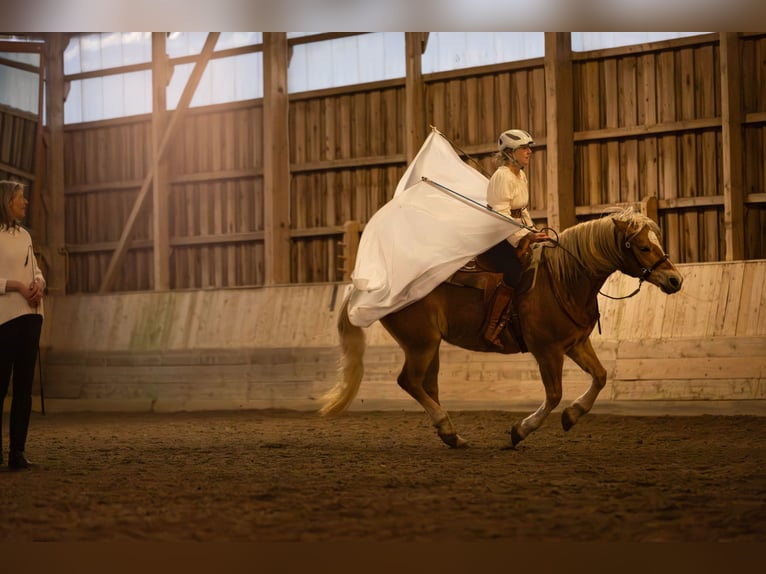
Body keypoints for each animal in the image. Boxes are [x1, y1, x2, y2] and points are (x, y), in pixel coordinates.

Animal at [318, 209, 684, 452]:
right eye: (643, 247)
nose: (675, 280)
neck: (563, 278)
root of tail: (377, 284)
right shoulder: (547, 350)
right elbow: (554, 394)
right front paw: (521, 430)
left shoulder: (575, 343)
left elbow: (601, 376)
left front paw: (572, 415)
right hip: (420, 343)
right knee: (409, 382)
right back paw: (447, 428)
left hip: (429, 346)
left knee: (426, 385)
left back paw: (452, 435)